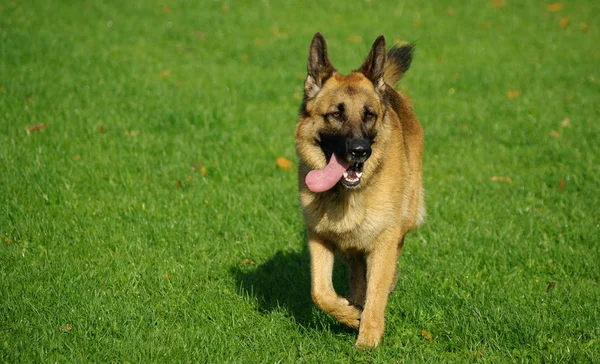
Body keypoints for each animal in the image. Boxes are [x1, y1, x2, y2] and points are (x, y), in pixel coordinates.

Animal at [292, 33, 424, 346]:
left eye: (369, 116)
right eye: (335, 115)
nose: (360, 151)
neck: (346, 194)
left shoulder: (384, 240)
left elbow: (377, 293)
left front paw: (368, 340)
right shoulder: (318, 237)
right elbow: (320, 292)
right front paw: (351, 315)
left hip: (405, 218)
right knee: (355, 270)